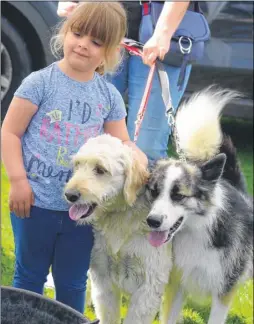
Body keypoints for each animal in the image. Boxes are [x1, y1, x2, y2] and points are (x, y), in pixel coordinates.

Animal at [63, 135, 173, 324]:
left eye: (100, 170)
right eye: (77, 165)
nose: (70, 195)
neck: (121, 217)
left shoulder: (148, 288)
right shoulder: (103, 278)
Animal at [146, 87, 253, 322]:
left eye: (178, 195)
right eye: (154, 191)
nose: (152, 221)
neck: (198, 230)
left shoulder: (224, 291)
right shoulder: (176, 283)